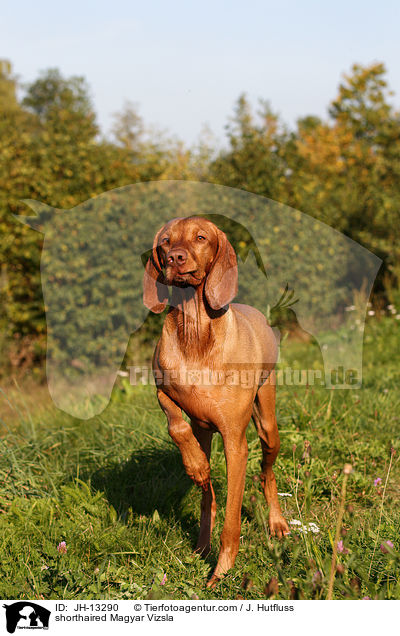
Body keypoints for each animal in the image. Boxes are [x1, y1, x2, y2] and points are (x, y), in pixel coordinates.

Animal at [142, 217, 290, 588]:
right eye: (165, 241)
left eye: (200, 237)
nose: (175, 258)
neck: (195, 329)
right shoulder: (163, 393)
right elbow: (175, 424)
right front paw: (195, 466)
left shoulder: (235, 443)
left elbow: (232, 521)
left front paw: (221, 571)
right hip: (207, 433)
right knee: (208, 493)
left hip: (268, 427)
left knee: (266, 473)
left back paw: (277, 523)